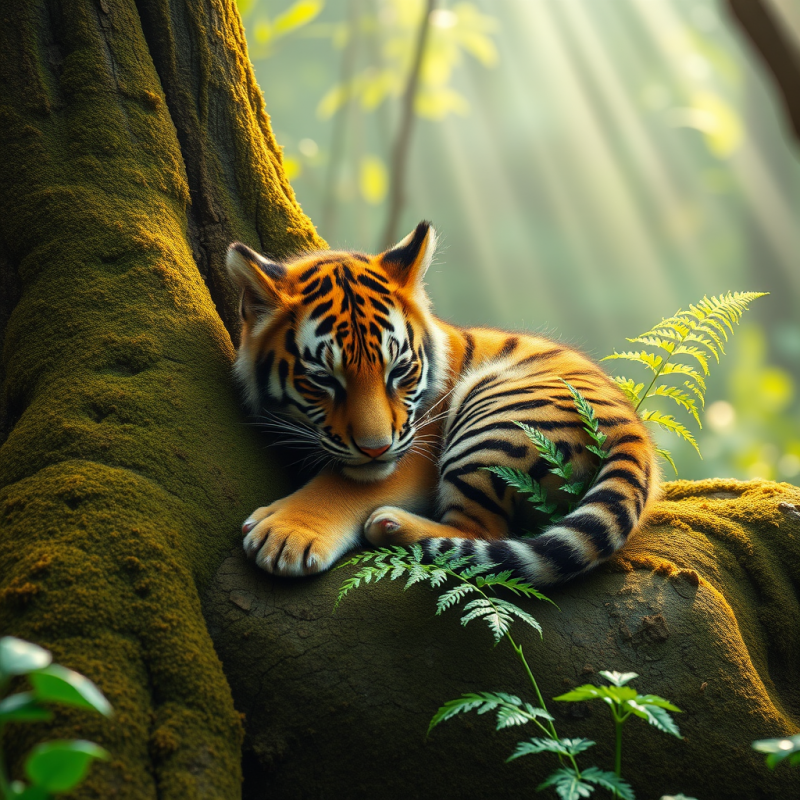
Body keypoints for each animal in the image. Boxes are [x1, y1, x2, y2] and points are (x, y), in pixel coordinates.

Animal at [226, 221, 658, 586]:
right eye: (323, 379)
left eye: (399, 370)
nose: (376, 448)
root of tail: (633, 431)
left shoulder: (414, 448)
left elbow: (342, 485)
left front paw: (286, 534)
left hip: (490, 422)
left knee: (480, 533)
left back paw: (390, 524)